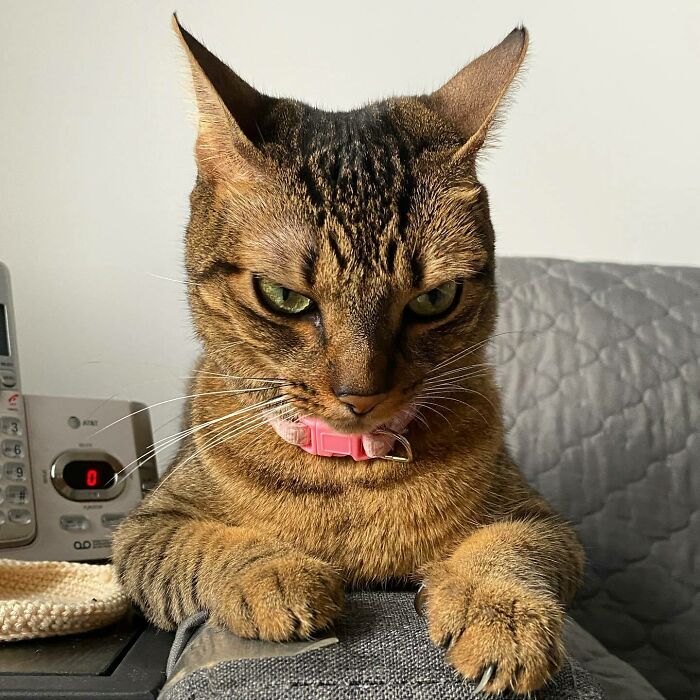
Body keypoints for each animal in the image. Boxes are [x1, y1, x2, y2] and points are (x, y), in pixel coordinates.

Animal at [115, 16, 584, 696]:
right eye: (283, 296)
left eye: (434, 298)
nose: (361, 394)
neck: (350, 482)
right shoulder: (147, 530)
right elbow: (206, 545)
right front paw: (273, 573)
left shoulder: (543, 521)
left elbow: (509, 550)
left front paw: (502, 615)